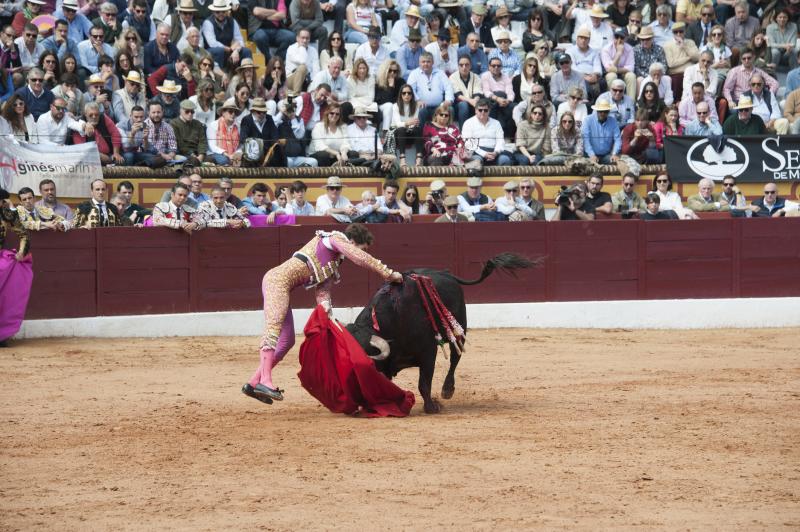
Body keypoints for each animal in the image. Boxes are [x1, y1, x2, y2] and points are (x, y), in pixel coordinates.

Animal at [346, 255, 536, 416]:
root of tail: (446, 273)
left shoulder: (428, 353)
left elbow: (424, 383)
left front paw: (431, 407)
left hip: (458, 330)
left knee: (454, 359)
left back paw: (447, 390)